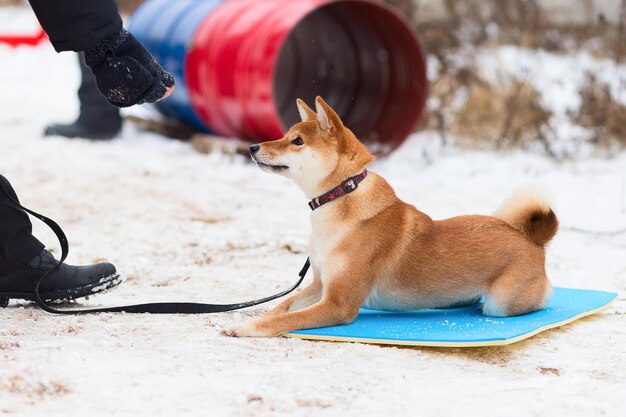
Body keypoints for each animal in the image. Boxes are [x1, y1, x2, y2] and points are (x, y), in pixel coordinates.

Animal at [223, 96, 556, 336]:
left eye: (297, 141)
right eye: (285, 135)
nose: (251, 147)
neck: (339, 197)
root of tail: (531, 238)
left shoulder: (338, 303)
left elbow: (282, 320)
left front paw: (245, 326)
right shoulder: (319, 286)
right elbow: (281, 307)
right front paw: (252, 315)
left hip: (501, 303)